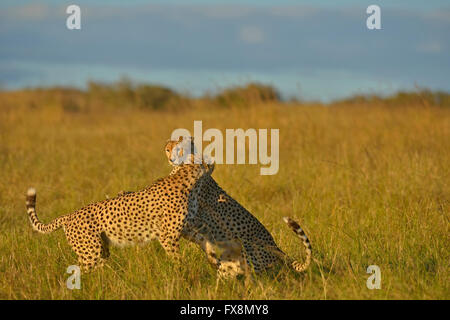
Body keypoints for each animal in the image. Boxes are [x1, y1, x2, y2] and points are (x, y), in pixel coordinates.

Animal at [25, 161, 215, 272]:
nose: (211, 162)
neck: (187, 178)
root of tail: (69, 215)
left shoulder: (185, 230)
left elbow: (203, 240)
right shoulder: (167, 236)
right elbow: (177, 258)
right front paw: (181, 272)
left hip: (101, 249)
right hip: (90, 252)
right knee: (79, 271)